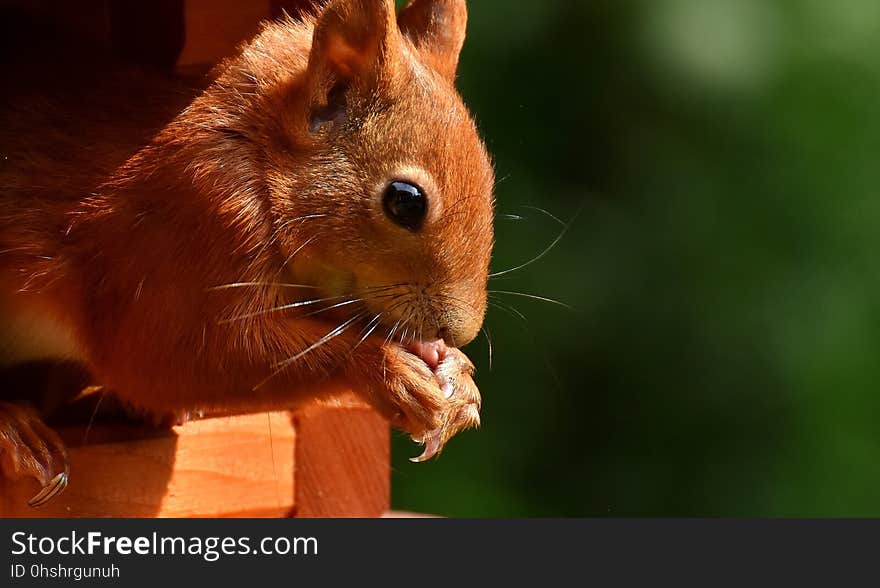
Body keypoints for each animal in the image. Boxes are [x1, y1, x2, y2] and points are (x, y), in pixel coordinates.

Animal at [0, 0, 496, 506]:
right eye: (405, 201)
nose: (456, 331)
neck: (258, 155)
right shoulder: (178, 234)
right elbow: (167, 356)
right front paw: (388, 370)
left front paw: (458, 379)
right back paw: (16, 430)